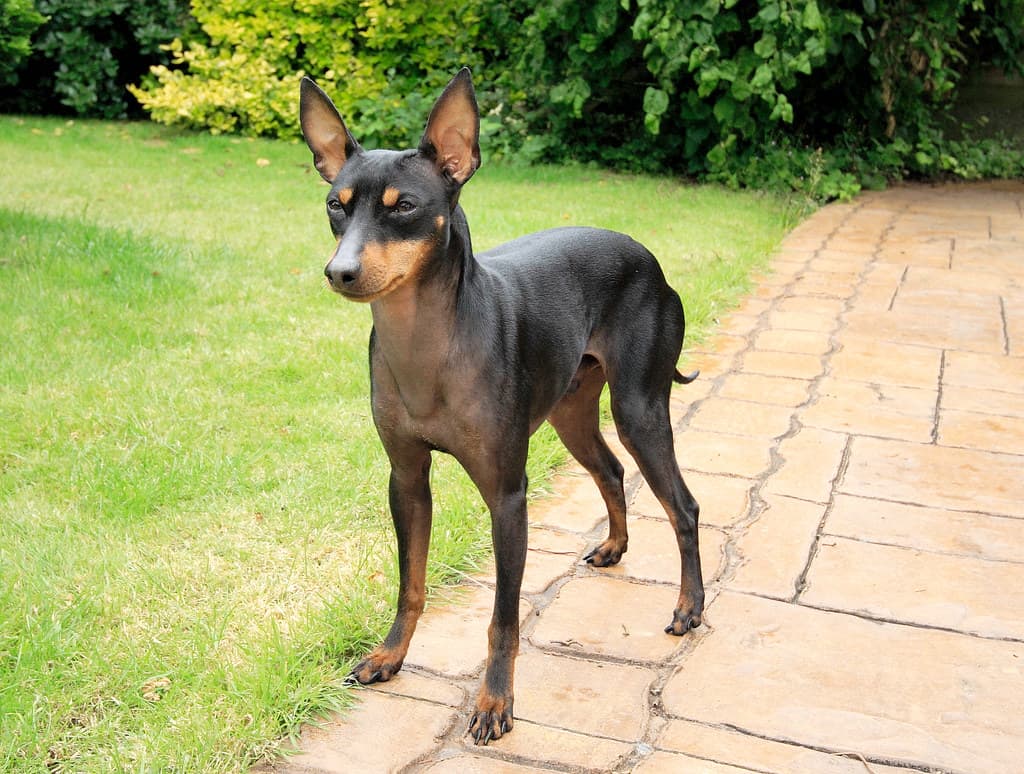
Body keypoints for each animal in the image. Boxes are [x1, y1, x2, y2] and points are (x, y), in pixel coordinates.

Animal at [299, 69, 704, 745]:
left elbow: (503, 618)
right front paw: (390, 655)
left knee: (685, 507)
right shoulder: (406, 479)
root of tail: (647, 256)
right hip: (572, 413)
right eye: (337, 204)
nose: (340, 271)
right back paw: (614, 547)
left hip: (640, 410)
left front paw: (494, 702)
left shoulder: (507, 497)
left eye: (403, 207)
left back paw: (689, 606)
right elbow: (411, 583)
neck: (427, 341)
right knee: (611, 470)